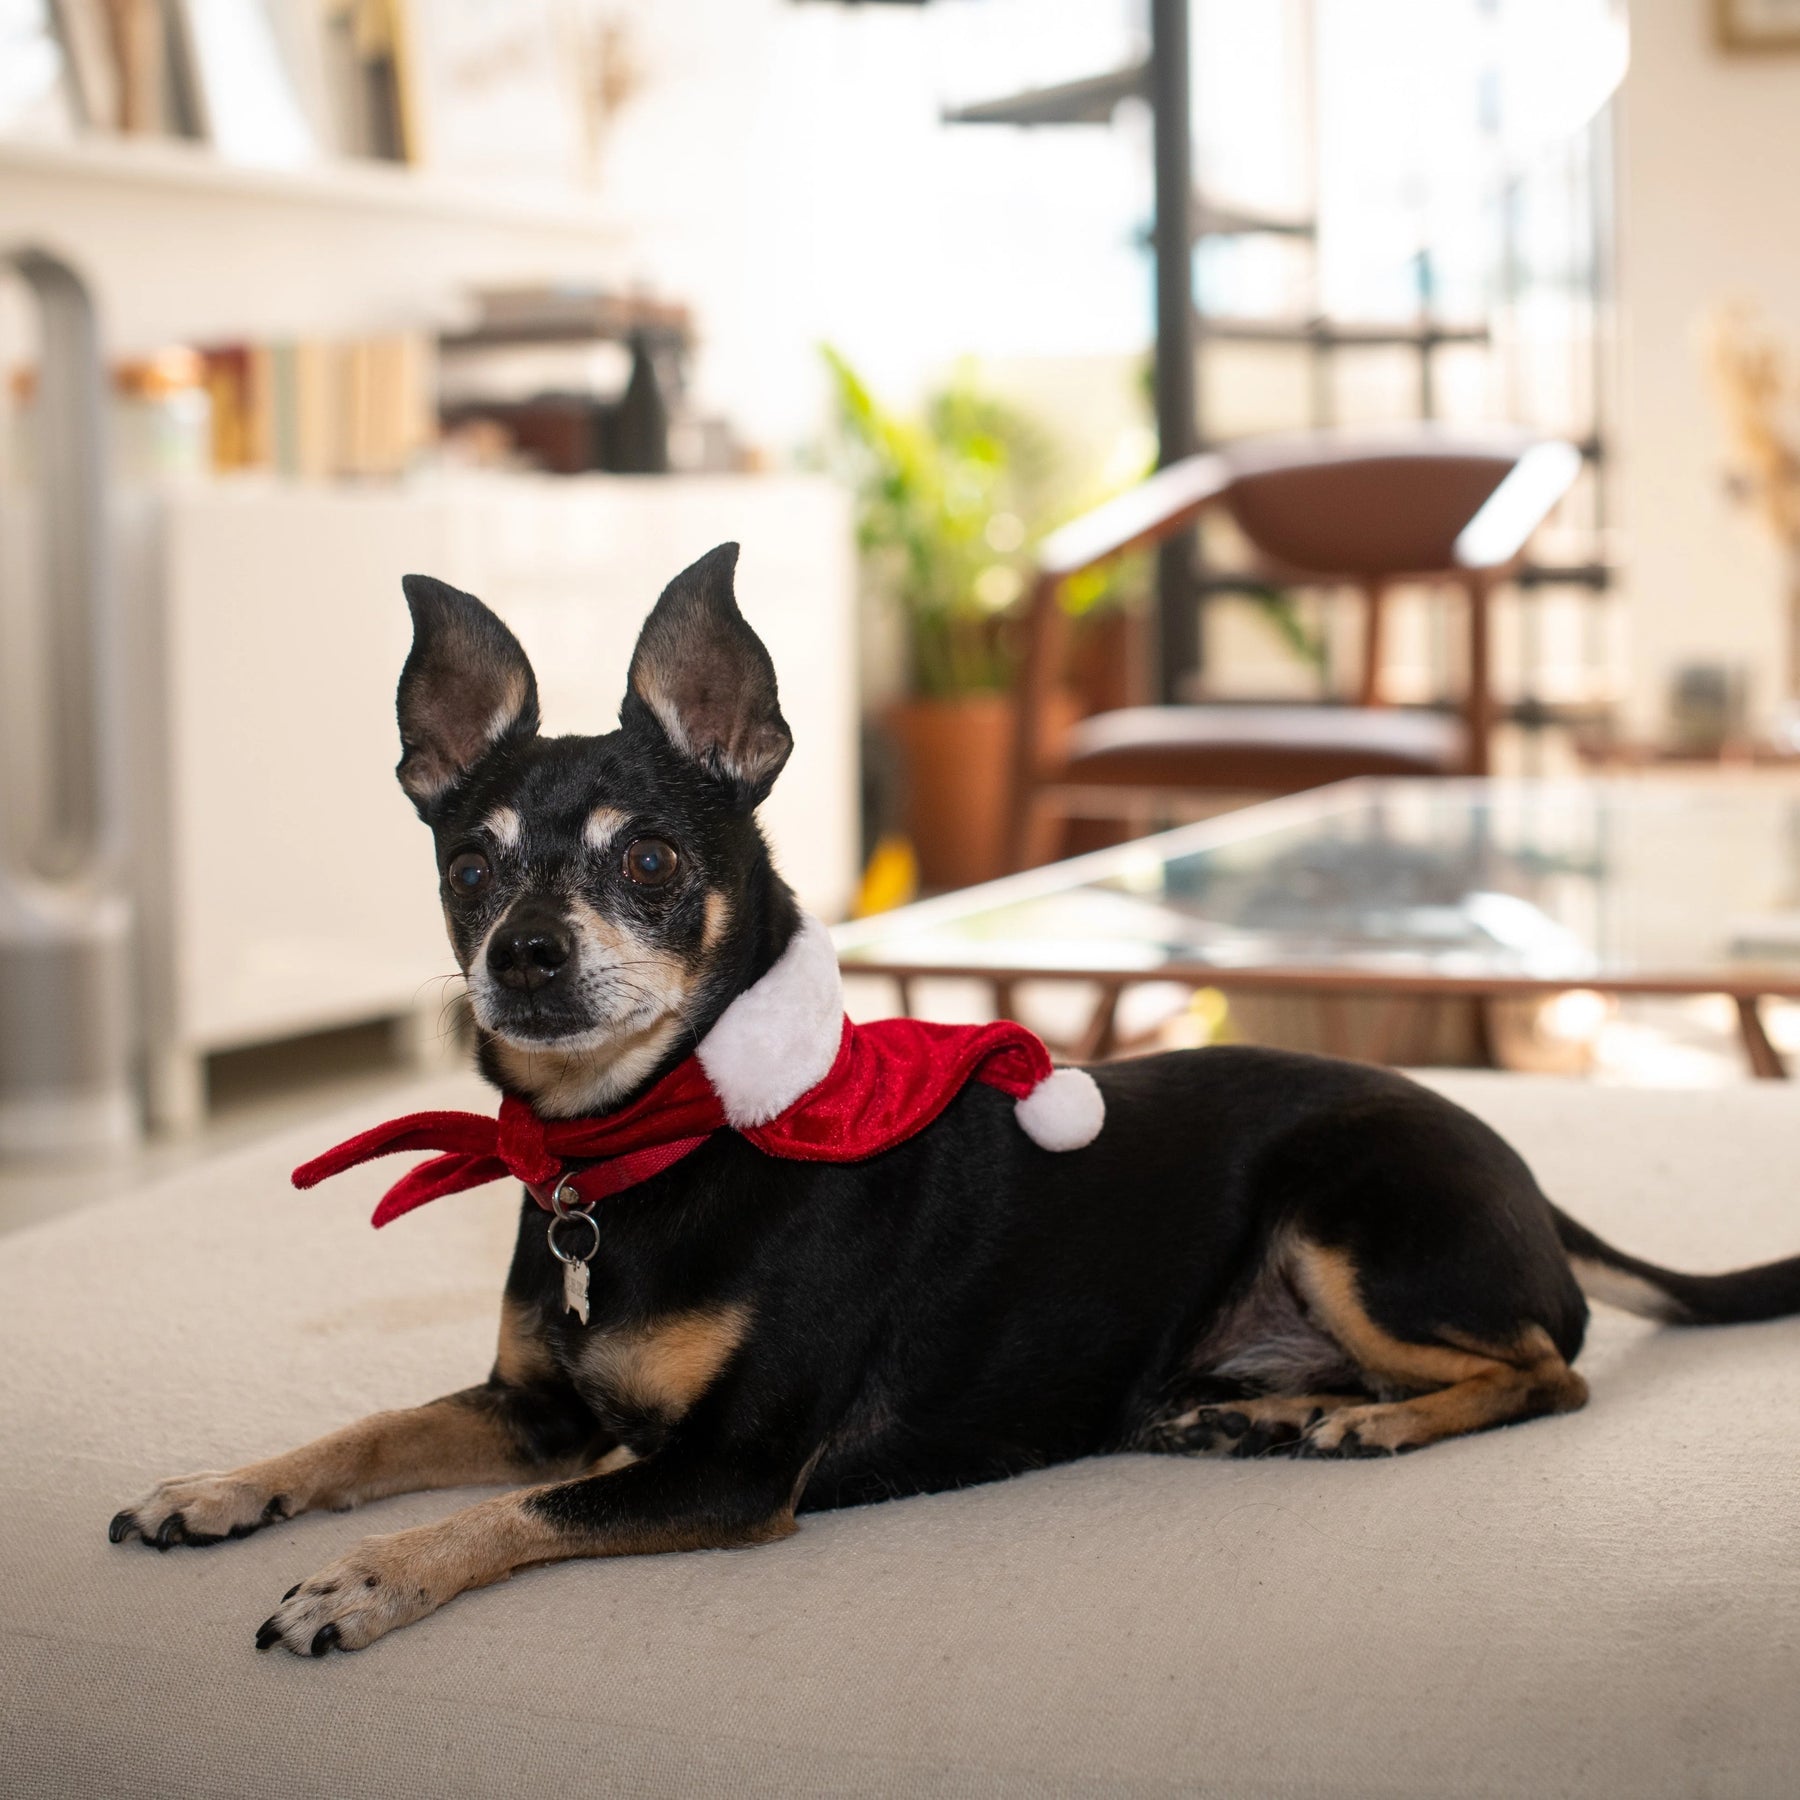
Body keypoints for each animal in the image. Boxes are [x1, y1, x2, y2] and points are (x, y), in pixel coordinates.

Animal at [108, 540, 1800, 1648]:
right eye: (468, 867)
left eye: (647, 860)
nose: (521, 958)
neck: (632, 1158)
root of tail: (1528, 1179)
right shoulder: (537, 1410)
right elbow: (368, 1433)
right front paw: (223, 1489)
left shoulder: (725, 1469)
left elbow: (494, 1518)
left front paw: (363, 1579)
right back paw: (1268, 1412)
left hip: (1345, 1222)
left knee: (1549, 1371)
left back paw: (1359, 1428)